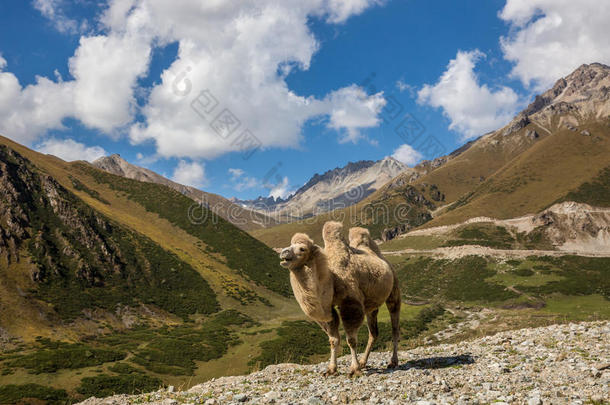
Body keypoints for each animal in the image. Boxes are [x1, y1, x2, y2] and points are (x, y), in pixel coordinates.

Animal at [280, 221, 402, 376]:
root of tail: (384, 260)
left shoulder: (350, 304)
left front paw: (354, 369)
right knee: (373, 332)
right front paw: (331, 369)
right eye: (290, 245)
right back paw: (364, 362)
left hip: (394, 290)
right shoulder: (329, 309)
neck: (332, 278)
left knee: (395, 326)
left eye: (302, 248)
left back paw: (393, 362)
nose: (283, 252)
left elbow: (351, 339)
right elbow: (333, 339)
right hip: (371, 305)